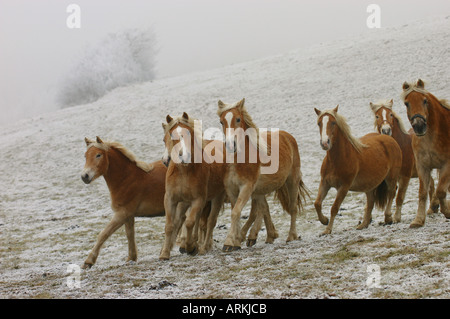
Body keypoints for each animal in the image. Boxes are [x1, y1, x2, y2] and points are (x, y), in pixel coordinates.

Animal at [81, 136, 167, 268]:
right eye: (85, 156)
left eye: (98, 155)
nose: (84, 176)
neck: (126, 178)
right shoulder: (128, 215)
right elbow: (129, 234)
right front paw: (131, 258)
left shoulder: (122, 214)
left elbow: (103, 234)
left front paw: (88, 261)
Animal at [158, 112, 229, 260]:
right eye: (171, 135)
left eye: (189, 133)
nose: (183, 156)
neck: (183, 172)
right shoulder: (170, 200)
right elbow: (170, 225)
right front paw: (165, 253)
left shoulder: (198, 200)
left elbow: (190, 222)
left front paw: (191, 247)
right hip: (186, 202)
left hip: (217, 198)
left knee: (210, 222)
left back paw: (203, 248)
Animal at [215, 98, 308, 252]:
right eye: (222, 122)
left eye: (238, 119)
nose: (230, 145)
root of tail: (288, 136)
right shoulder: (232, 190)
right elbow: (237, 211)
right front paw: (236, 241)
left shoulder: (247, 187)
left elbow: (237, 212)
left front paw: (229, 242)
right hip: (260, 189)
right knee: (263, 208)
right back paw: (265, 236)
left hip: (291, 181)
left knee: (292, 208)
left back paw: (291, 236)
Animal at [312, 105, 400, 235]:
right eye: (319, 123)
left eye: (333, 122)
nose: (324, 143)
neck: (337, 160)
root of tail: (389, 138)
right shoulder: (325, 183)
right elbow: (317, 203)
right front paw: (324, 220)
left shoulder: (344, 187)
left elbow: (334, 208)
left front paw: (328, 229)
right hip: (370, 185)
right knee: (371, 202)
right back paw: (363, 224)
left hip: (391, 177)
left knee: (392, 192)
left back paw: (388, 217)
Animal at [400, 80, 450, 230]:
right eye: (407, 103)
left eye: (425, 100)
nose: (419, 126)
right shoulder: (423, 167)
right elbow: (422, 193)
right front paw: (418, 220)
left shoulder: (447, 165)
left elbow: (440, 191)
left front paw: (447, 211)